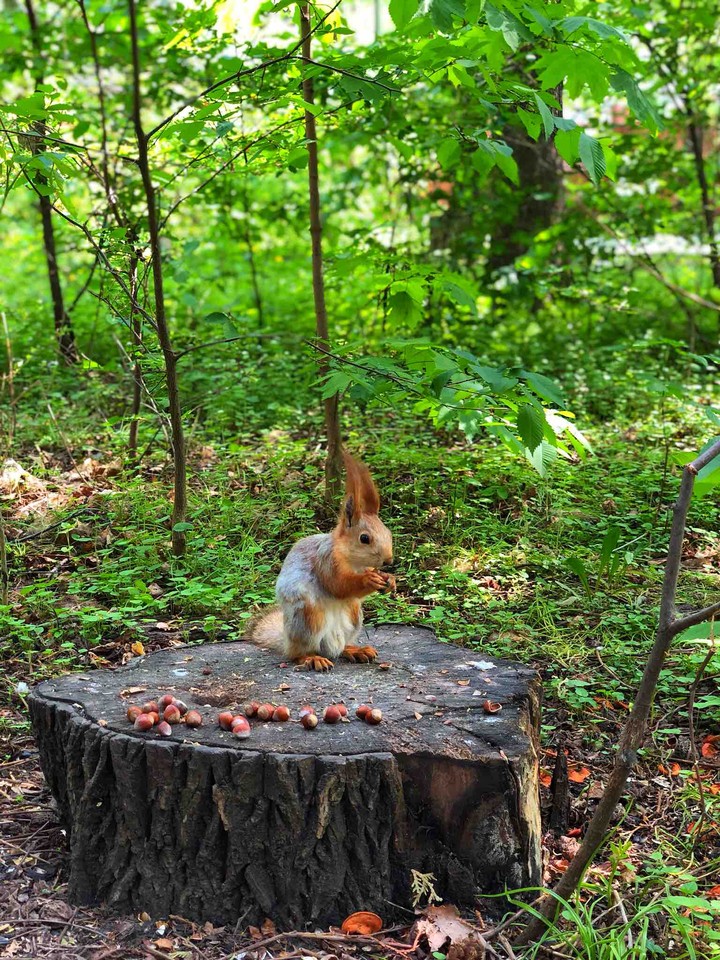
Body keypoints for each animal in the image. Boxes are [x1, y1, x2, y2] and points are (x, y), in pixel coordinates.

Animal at [249, 451, 396, 671]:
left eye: (388, 533)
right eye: (364, 538)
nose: (388, 560)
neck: (353, 561)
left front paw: (390, 580)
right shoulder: (325, 561)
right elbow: (338, 585)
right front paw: (368, 580)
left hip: (354, 615)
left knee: (341, 647)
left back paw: (355, 650)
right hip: (308, 619)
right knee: (297, 654)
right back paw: (312, 658)